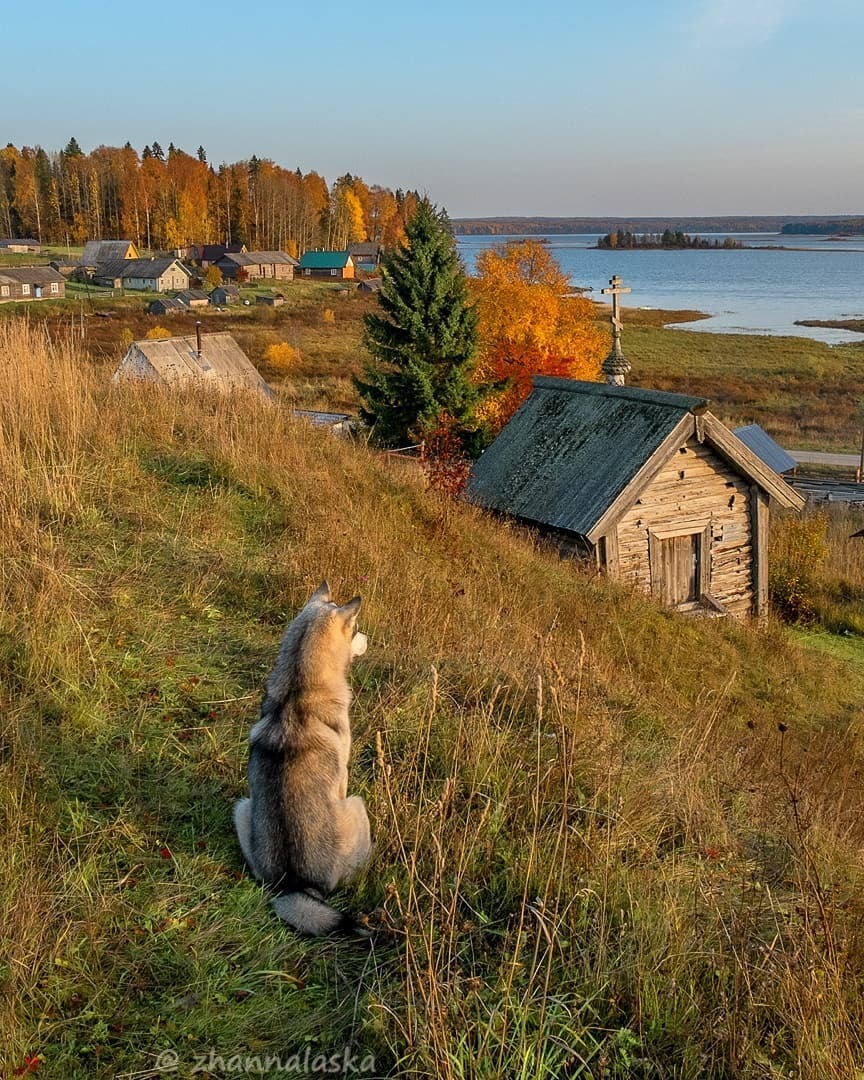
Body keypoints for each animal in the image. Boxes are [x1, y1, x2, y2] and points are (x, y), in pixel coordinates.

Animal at [233, 583, 371, 937]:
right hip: (358, 807)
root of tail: (294, 885)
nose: (369, 638)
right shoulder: (344, 779)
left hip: (242, 808)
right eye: (356, 629)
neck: (298, 689)